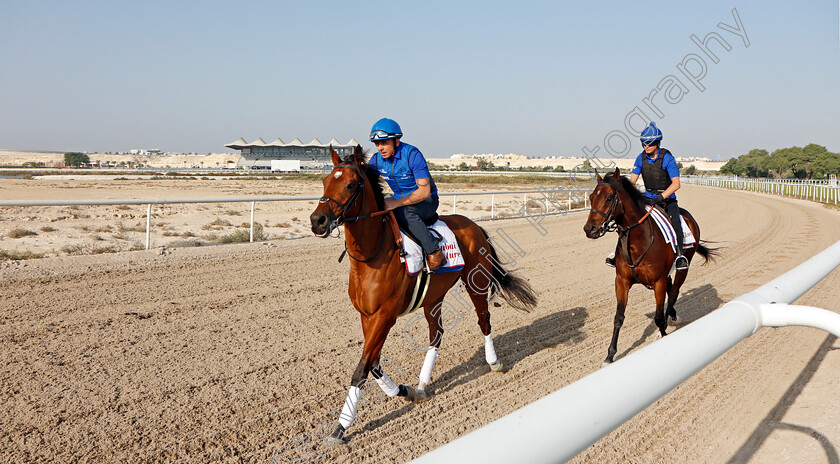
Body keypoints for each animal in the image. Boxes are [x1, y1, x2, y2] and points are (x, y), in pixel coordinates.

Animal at [308, 147, 540, 444]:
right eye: (325, 181)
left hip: (476, 282)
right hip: (433, 296)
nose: (318, 220)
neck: (373, 255)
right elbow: (373, 363)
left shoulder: (385, 316)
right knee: (436, 333)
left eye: (350, 184)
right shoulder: (367, 315)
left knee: (484, 320)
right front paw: (402, 391)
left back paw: (494, 362)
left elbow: (362, 368)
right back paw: (421, 384)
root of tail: (474, 226)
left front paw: (340, 427)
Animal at [584, 167, 716, 366]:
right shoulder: (621, 281)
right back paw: (673, 316)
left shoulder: (658, 282)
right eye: (592, 197)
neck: (638, 240)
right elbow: (618, 317)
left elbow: (659, 317)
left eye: (608, 198)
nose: (589, 229)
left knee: (674, 293)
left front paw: (663, 335)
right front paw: (610, 355)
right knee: (671, 289)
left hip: (683, 267)